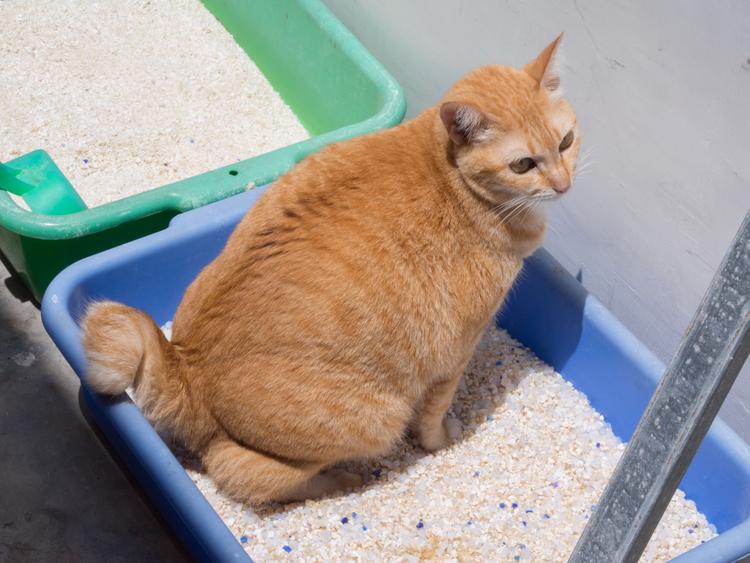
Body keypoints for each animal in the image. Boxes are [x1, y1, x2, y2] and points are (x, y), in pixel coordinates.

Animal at [81, 34, 580, 502]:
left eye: (566, 142)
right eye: (523, 164)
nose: (563, 184)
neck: (453, 176)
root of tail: (186, 364)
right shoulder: (455, 355)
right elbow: (433, 416)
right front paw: (442, 440)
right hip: (378, 419)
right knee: (242, 472)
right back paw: (338, 480)